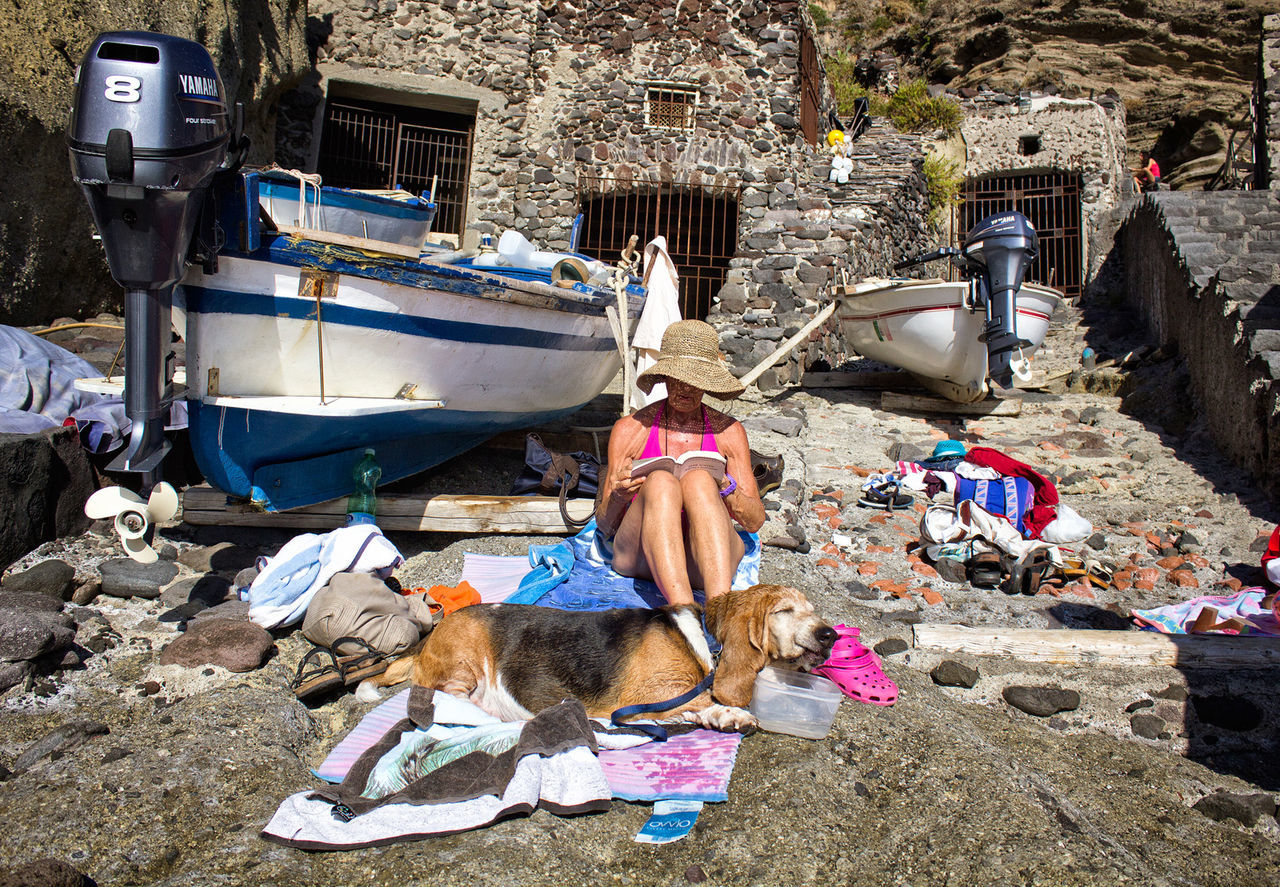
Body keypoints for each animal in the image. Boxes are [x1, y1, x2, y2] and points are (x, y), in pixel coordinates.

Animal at [363, 581, 839, 732]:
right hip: (462, 665)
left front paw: (720, 717)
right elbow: (702, 699)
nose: (831, 634)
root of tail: (427, 640)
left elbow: (696, 706)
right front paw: (732, 714)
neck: (705, 640)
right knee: (438, 699)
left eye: (815, 610)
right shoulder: (646, 694)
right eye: (784, 611)